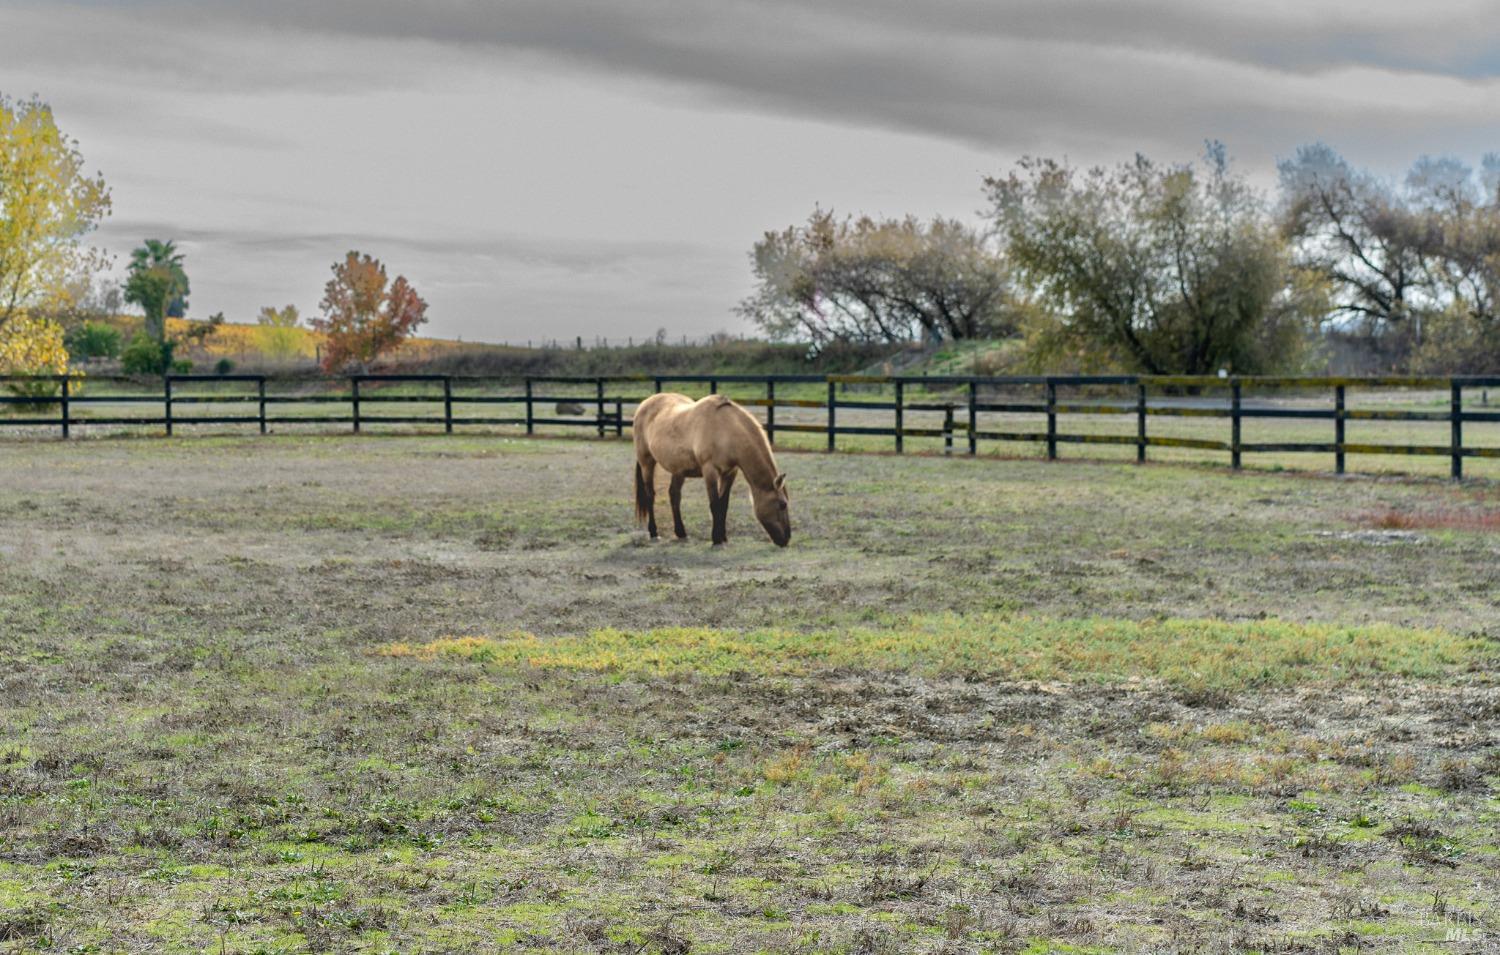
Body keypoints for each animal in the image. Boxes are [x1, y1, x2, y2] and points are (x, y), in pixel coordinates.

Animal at [636, 392, 798, 542]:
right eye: (782, 504)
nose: (786, 539)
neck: (726, 429)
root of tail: (644, 404)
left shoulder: (730, 472)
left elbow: (723, 504)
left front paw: (723, 536)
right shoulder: (710, 471)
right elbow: (714, 504)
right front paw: (716, 539)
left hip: (678, 470)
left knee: (674, 495)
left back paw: (681, 532)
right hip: (647, 462)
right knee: (650, 495)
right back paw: (654, 532)